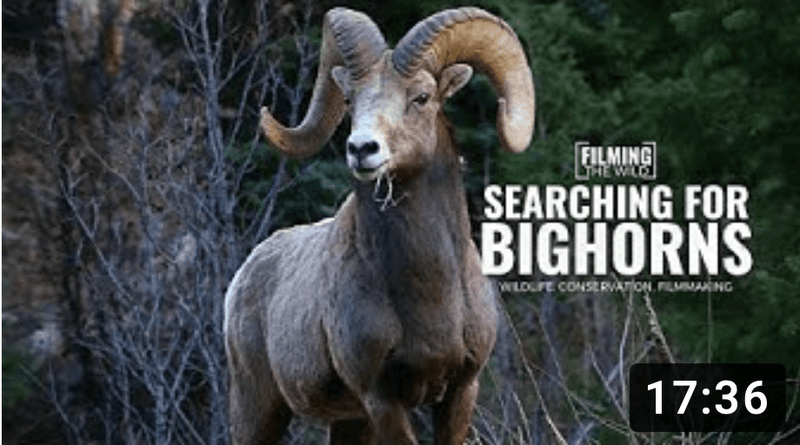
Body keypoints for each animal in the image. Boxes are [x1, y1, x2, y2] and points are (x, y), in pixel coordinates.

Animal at [224, 7, 535, 444]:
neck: (430, 293)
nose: (361, 149)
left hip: (348, 421)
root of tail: (245, 274)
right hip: (257, 408)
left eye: (421, 97)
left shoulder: (461, 392)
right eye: (350, 99)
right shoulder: (382, 399)